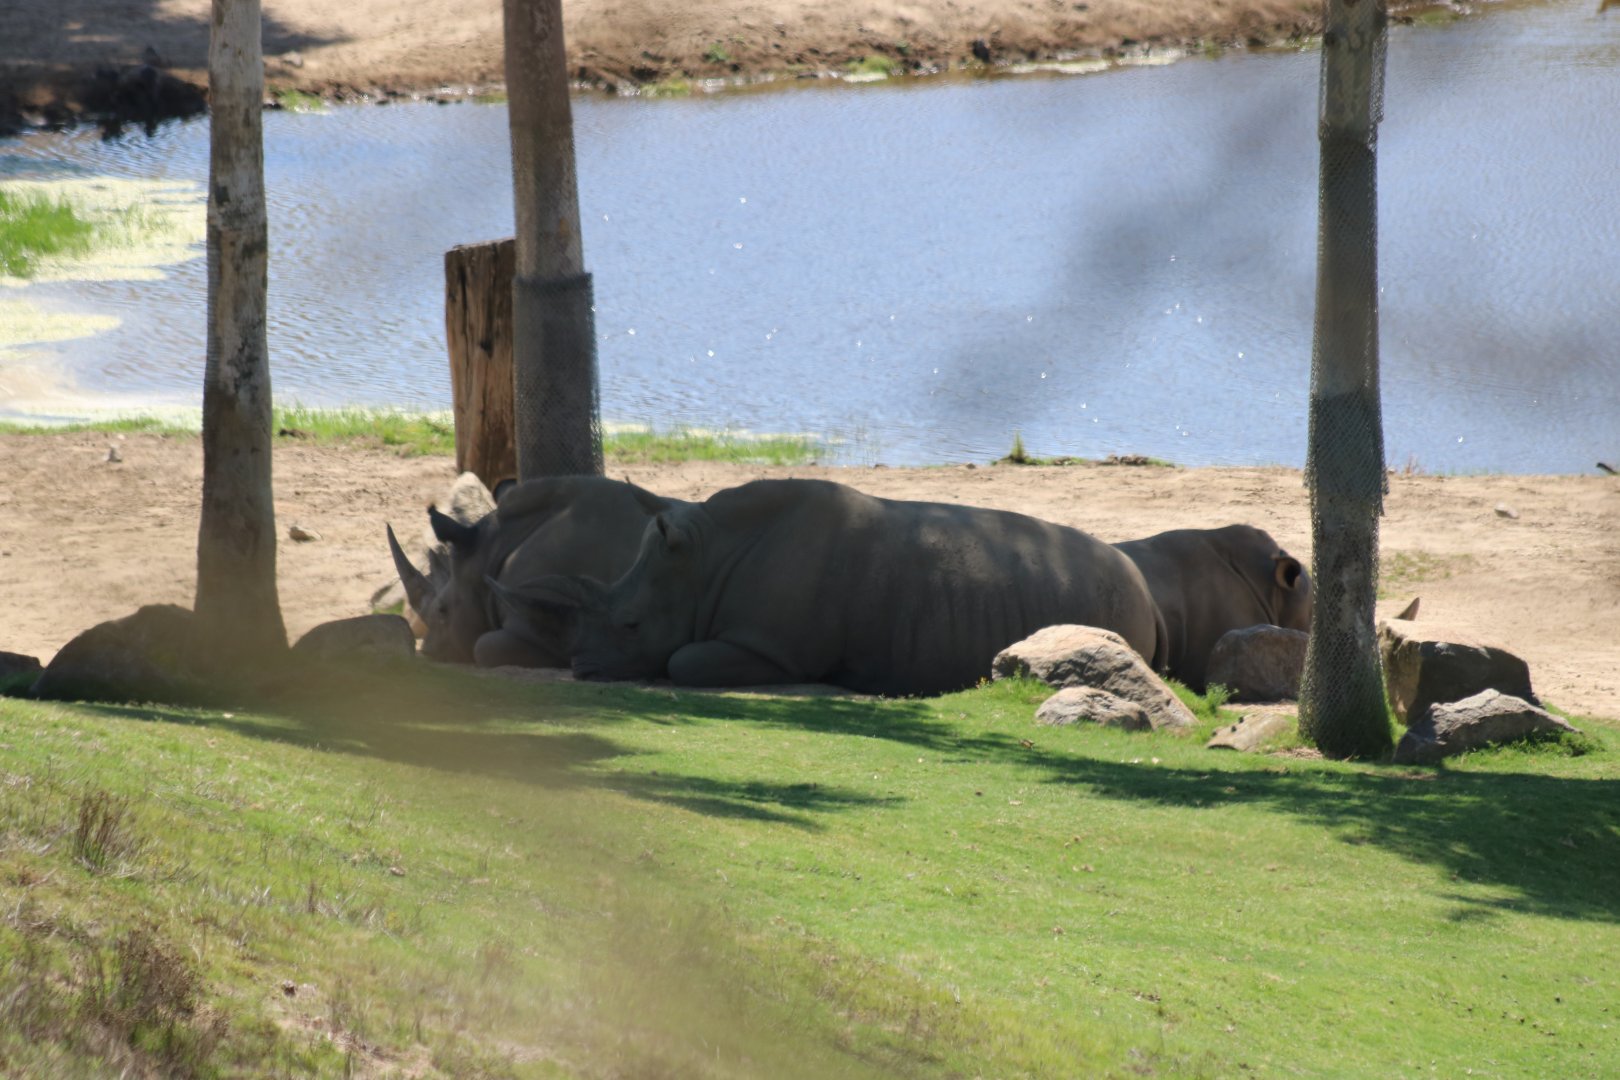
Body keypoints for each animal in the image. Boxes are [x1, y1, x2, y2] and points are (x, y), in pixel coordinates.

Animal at [491, 478, 1165, 696]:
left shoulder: (772, 646)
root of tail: (1149, 594)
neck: (706, 561)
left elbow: (682, 659)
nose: (581, 667)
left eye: (630, 625)